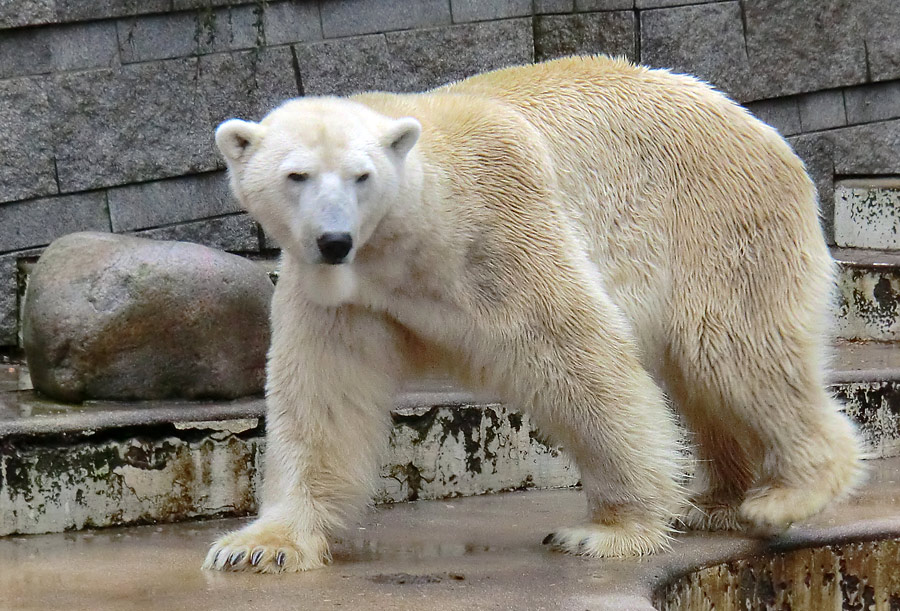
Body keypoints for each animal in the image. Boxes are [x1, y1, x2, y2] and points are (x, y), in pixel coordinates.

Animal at [200, 56, 860, 572]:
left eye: (362, 176)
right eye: (297, 175)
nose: (334, 239)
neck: (410, 241)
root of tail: (760, 126)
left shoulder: (501, 229)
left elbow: (576, 353)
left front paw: (607, 531)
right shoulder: (344, 294)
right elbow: (323, 399)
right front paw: (258, 547)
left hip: (719, 223)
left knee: (734, 350)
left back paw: (787, 493)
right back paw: (720, 500)